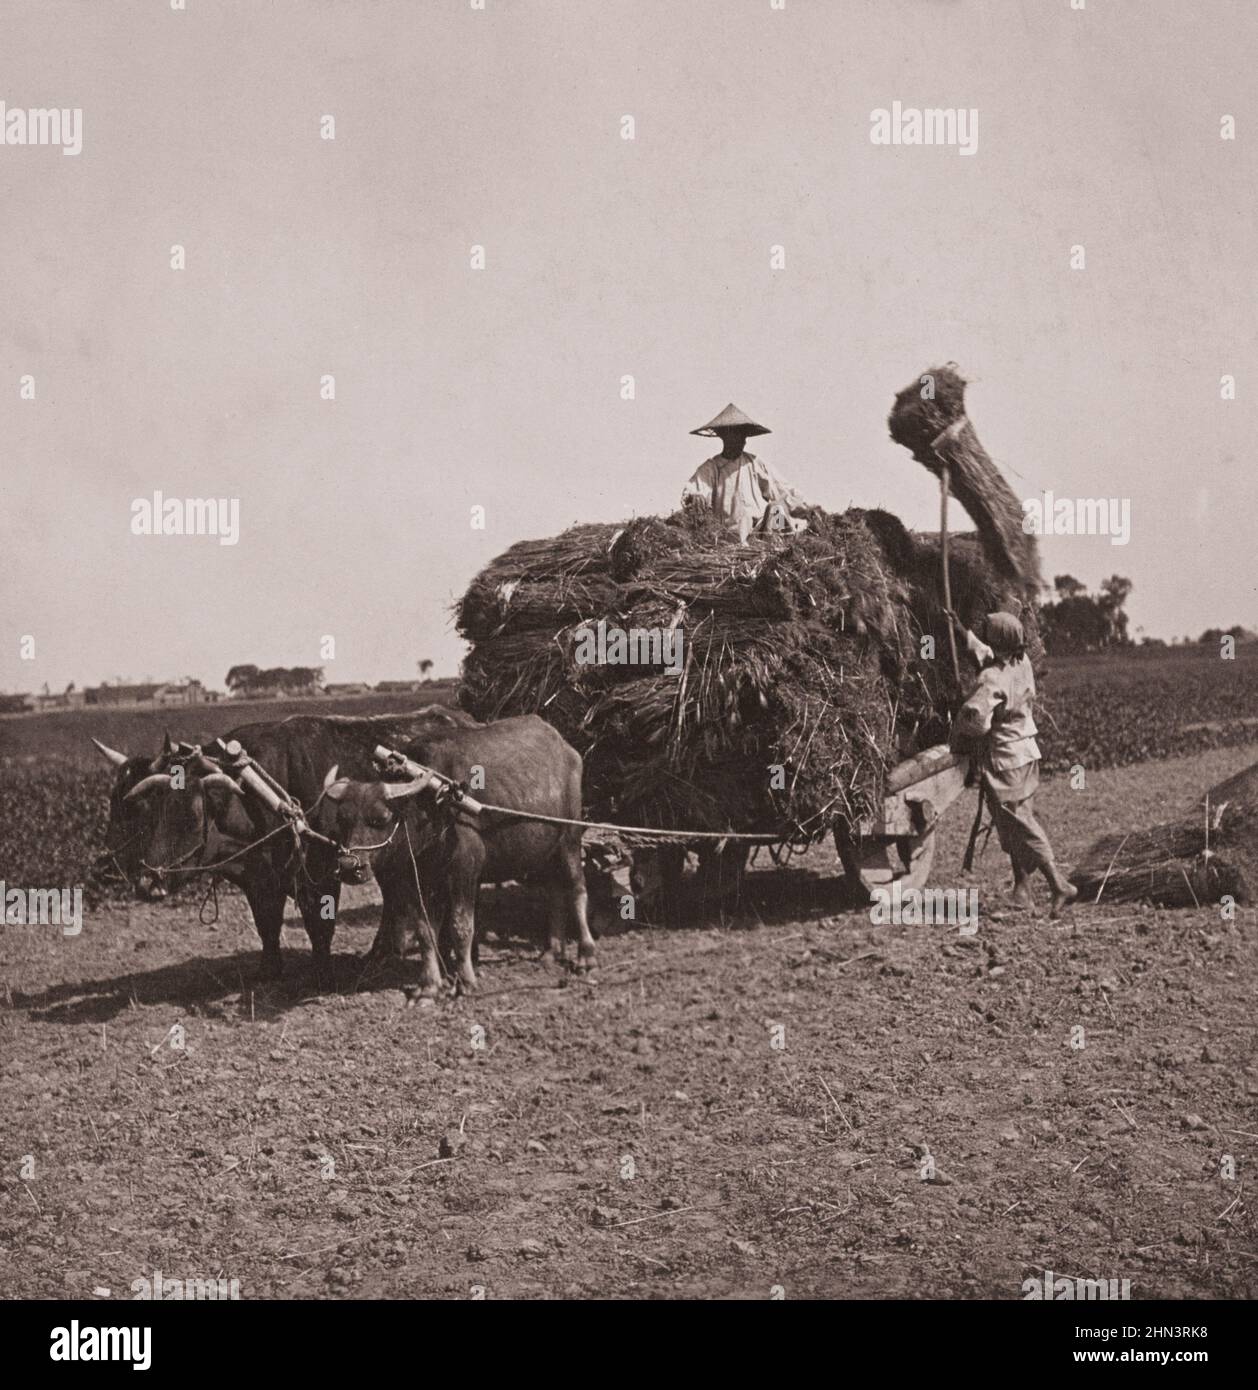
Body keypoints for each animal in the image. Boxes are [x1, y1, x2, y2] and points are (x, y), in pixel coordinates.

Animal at [91, 706, 475, 978]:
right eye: (152, 809)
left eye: (189, 817)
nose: (146, 883)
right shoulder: (259, 880)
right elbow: (267, 925)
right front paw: (269, 971)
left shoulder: (322, 873)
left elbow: (319, 927)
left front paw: (321, 975)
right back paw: (381, 954)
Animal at [311, 711, 592, 995]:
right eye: (343, 819)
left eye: (381, 819)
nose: (349, 866)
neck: (432, 809)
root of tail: (567, 749)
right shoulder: (416, 879)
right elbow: (425, 931)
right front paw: (430, 985)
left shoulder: (464, 872)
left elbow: (460, 925)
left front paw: (466, 979)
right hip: (543, 853)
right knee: (554, 891)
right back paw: (550, 953)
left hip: (570, 839)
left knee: (576, 889)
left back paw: (585, 957)